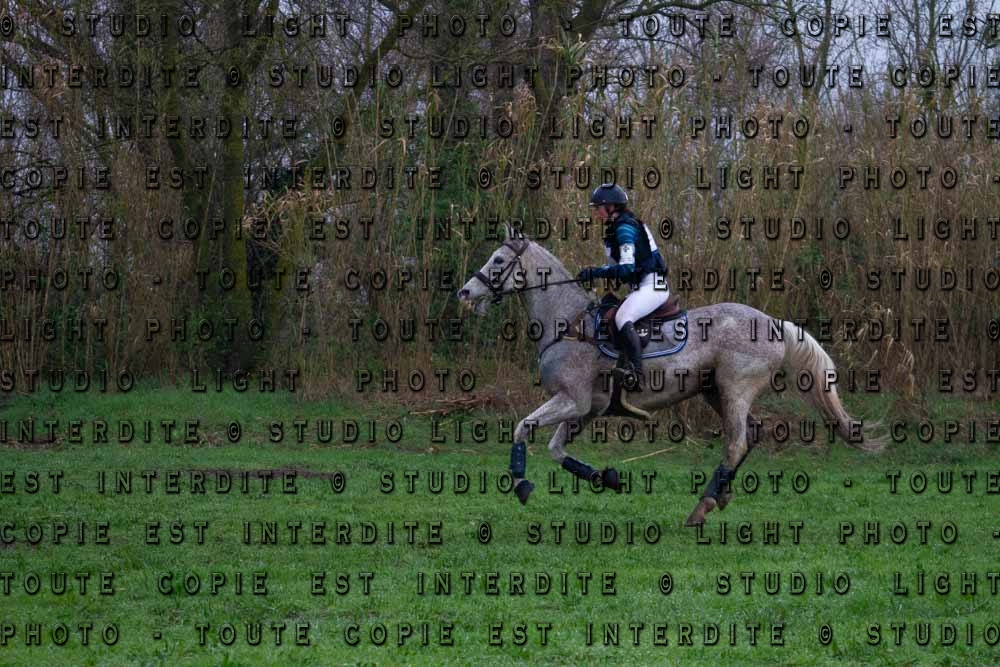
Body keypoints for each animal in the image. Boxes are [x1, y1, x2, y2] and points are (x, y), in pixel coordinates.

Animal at [456, 226, 887, 526]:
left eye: (498, 261)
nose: (464, 293)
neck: (568, 324)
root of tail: (774, 323)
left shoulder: (571, 401)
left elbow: (522, 428)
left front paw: (521, 484)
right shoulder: (586, 409)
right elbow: (557, 450)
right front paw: (607, 478)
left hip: (734, 388)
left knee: (736, 441)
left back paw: (702, 507)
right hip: (714, 390)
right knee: (752, 433)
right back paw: (721, 494)